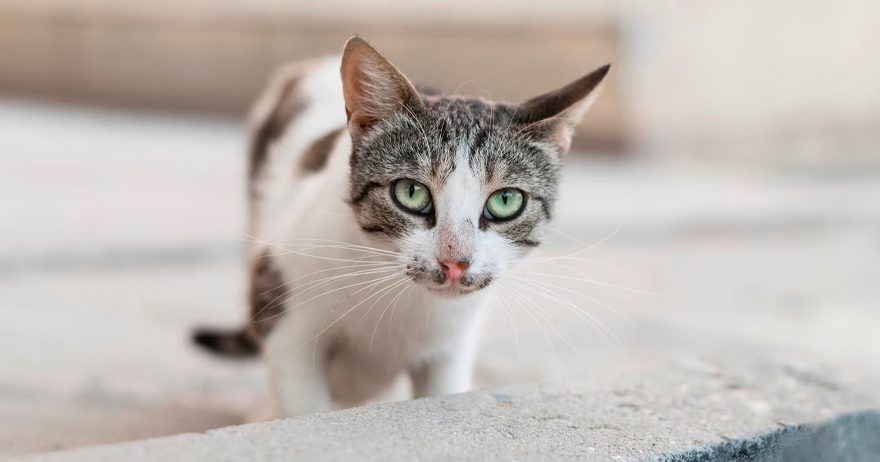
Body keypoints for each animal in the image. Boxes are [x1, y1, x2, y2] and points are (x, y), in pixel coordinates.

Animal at [193, 38, 608, 416]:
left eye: (506, 201)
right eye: (411, 192)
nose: (455, 261)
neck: (403, 300)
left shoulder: (450, 347)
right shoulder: (284, 309)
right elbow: (302, 403)